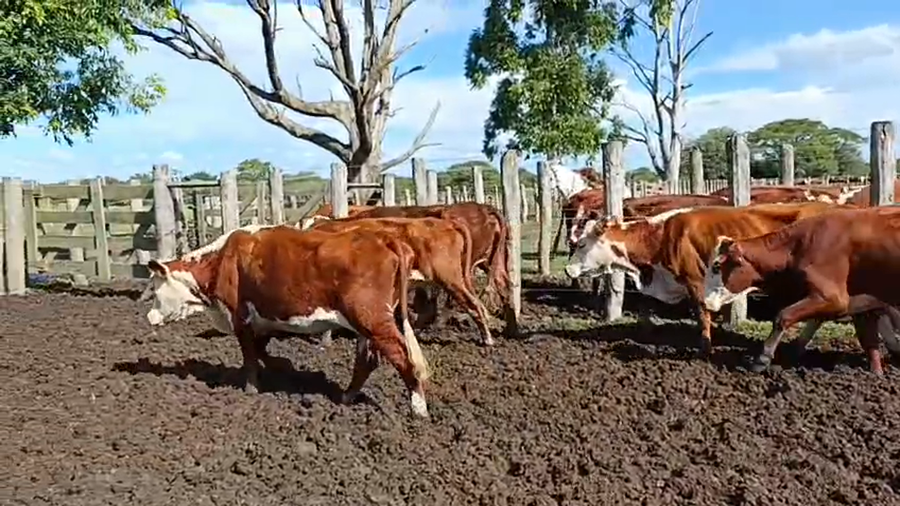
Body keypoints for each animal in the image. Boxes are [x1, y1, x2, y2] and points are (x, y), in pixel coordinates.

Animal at [142, 225, 433, 417]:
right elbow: (261, 351)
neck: (222, 260)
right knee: (366, 362)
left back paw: (418, 409)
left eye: (155, 288)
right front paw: (282, 369)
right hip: (367, 325)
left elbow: (250, 357)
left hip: (372, 320)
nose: (149, 317)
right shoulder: (266, 318)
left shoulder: (240, 317)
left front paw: (251, 390)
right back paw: (345, 398)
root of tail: (385, 238)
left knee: (402, 358)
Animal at [565, 202, 846, 355]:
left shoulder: (694, 281)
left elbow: (702, 314)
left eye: (582, 244)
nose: (568, 270)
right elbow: (646, 307)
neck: (663, 236)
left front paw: (706, 346)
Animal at [704, 205, 900, 374]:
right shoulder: (861, 303)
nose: (705, 301)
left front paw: (762, 359)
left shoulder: (834, 298)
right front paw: (877, 374)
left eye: (716, 266)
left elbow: (783, 316)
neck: (799, 247)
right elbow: (870, 344)